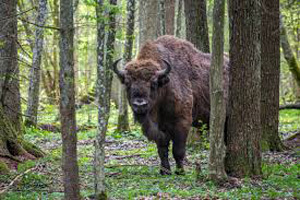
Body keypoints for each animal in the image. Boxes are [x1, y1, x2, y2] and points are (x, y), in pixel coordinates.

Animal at [113, 36, 230, 175]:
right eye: (127, 83)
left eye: (153, 83)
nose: (139, 104)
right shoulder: (160, 128)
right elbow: (162, 149)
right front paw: (165, 171)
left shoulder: (182, 122)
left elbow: (178, 150)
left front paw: (180, 171)